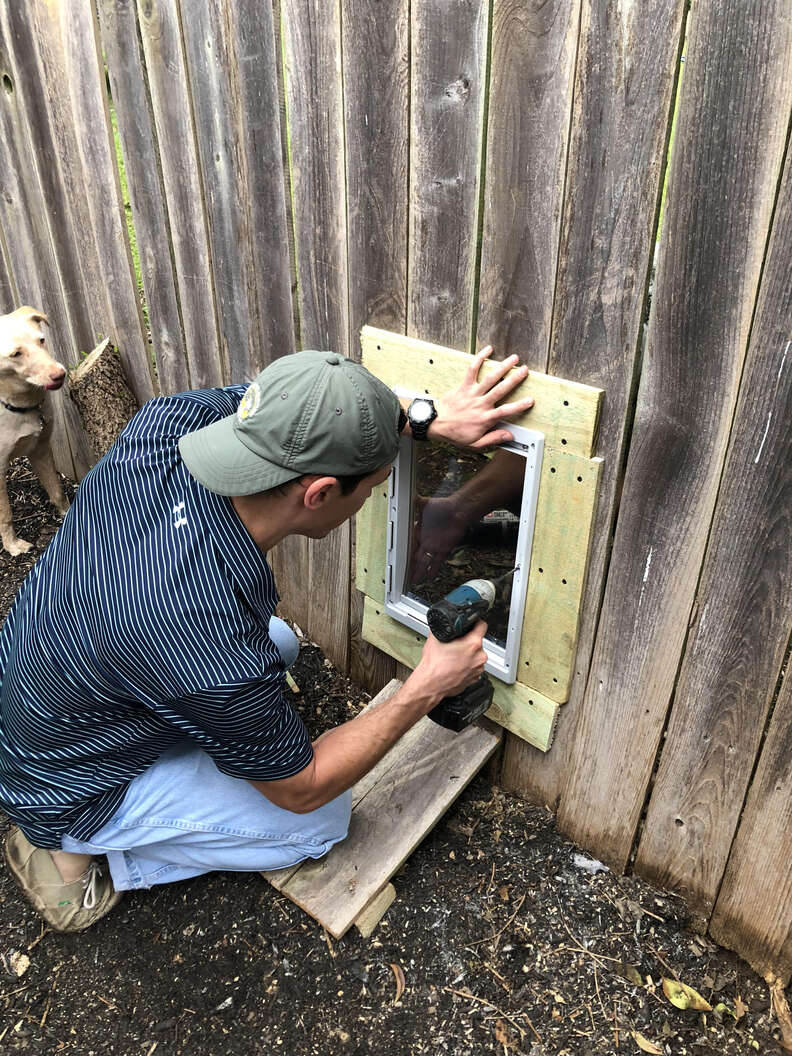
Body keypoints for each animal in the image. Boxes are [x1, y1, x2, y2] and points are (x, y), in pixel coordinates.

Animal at [0, 306, 69, 557]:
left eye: (41, 340)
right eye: (16, 354)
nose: (60, 374)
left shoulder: (40, 449)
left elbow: (56, 490)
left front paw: (69, 513)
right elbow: (5, 515)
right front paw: (12, 546)